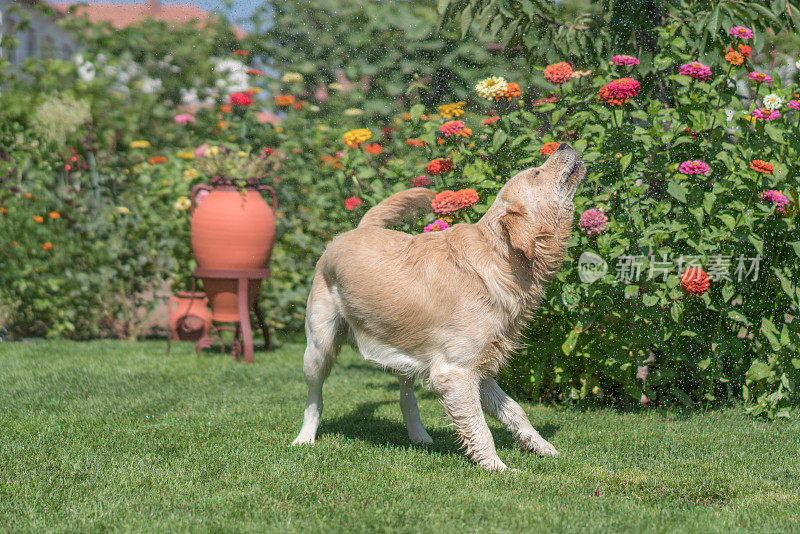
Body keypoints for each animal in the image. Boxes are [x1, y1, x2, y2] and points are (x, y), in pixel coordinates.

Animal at [290, 144, 584, 472]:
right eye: (536, 173)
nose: (564, 145)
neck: (498, 260)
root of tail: (357, 229)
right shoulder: (456, 372)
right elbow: (480, 428)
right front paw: (498, 467)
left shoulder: (479, 368)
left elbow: (515, 410)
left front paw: (540, 446)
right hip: (319, 346)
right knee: (314, 398)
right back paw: (304, 438)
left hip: (400, 346)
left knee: (406, 397)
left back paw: (419, 435)